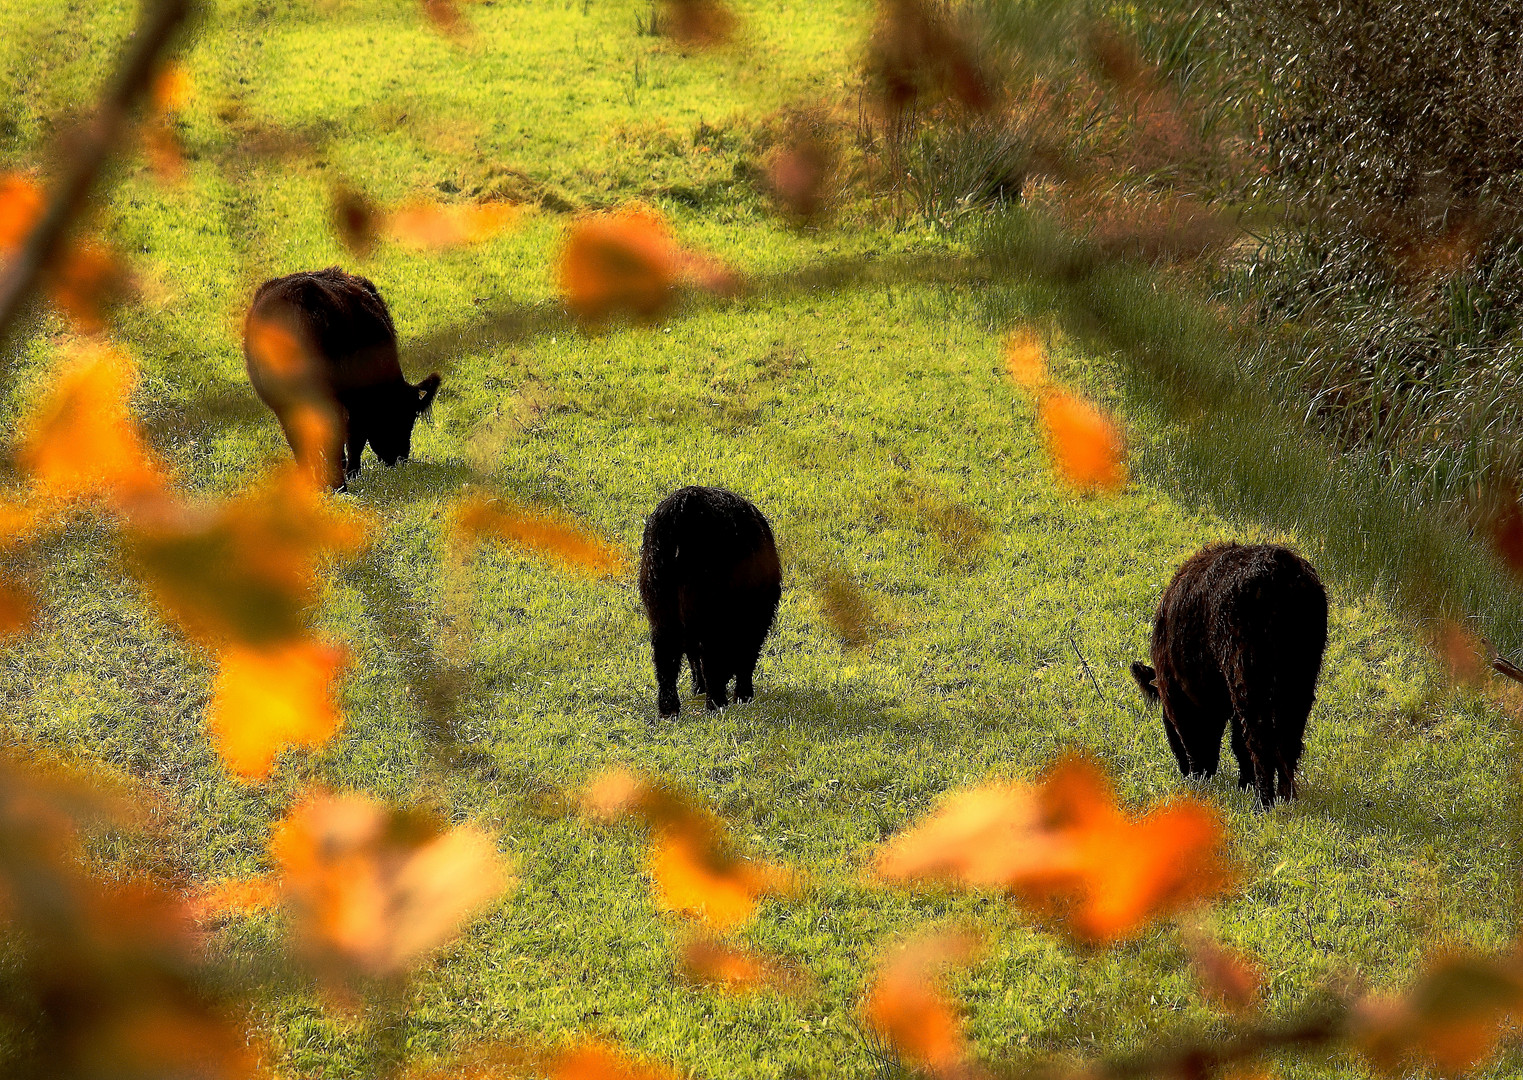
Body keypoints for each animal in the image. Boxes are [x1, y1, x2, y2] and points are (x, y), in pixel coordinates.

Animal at [639, 487, 785, 715]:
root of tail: (684, 502)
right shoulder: (756, 619)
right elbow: (746, 657)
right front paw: (743, 695)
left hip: (661, 604)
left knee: (665, 653)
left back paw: (669, 708)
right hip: (705, 607)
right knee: (708, 654)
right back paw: (716, 702)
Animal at [1127, 542, 1328, 804]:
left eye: (1167, 722)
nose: (1188, 772)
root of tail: (1279, 568)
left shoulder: (1181, 697)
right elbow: (1238, 741)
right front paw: (1244, 783)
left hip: (1247, 675)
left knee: (1260, 739)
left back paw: (1264, 801)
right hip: (1301, 676)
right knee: (1289, 737)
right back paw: (1286, 798)